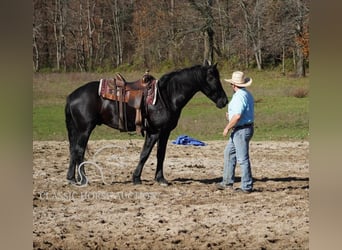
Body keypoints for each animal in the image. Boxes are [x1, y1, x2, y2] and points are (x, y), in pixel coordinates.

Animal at [65, 60, 228, 186]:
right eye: (212, 77)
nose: (224, 101)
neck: (166, 96)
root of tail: (72, 96)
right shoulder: (154, 132)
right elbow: (145, 154)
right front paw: (136, 178)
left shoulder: (165, 132)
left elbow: (160, 154)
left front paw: (160, 179)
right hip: (85, 129)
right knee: (79, 151)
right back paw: (84, 179)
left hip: (76, 130)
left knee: (73, 150)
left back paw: (72, 178)